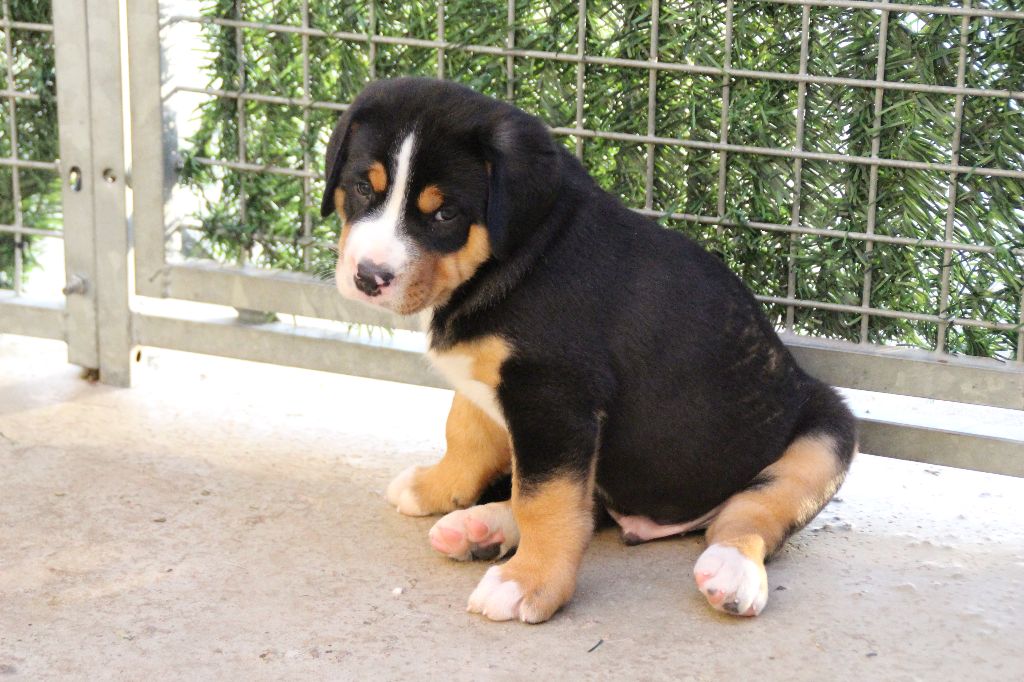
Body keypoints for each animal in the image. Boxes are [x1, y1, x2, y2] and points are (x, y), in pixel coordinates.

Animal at [320, 77, 857, 623]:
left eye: (446, 213)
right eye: (363, 187)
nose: (369, 277)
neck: (518, 255)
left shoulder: (554, 397)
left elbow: (545, 499)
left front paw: (527, 583)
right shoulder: (488, 379)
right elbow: (466, 434)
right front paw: (432, 487)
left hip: (826, 435)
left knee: (747, 514)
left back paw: (731, 570)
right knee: (591, 505)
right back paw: (480, 529)